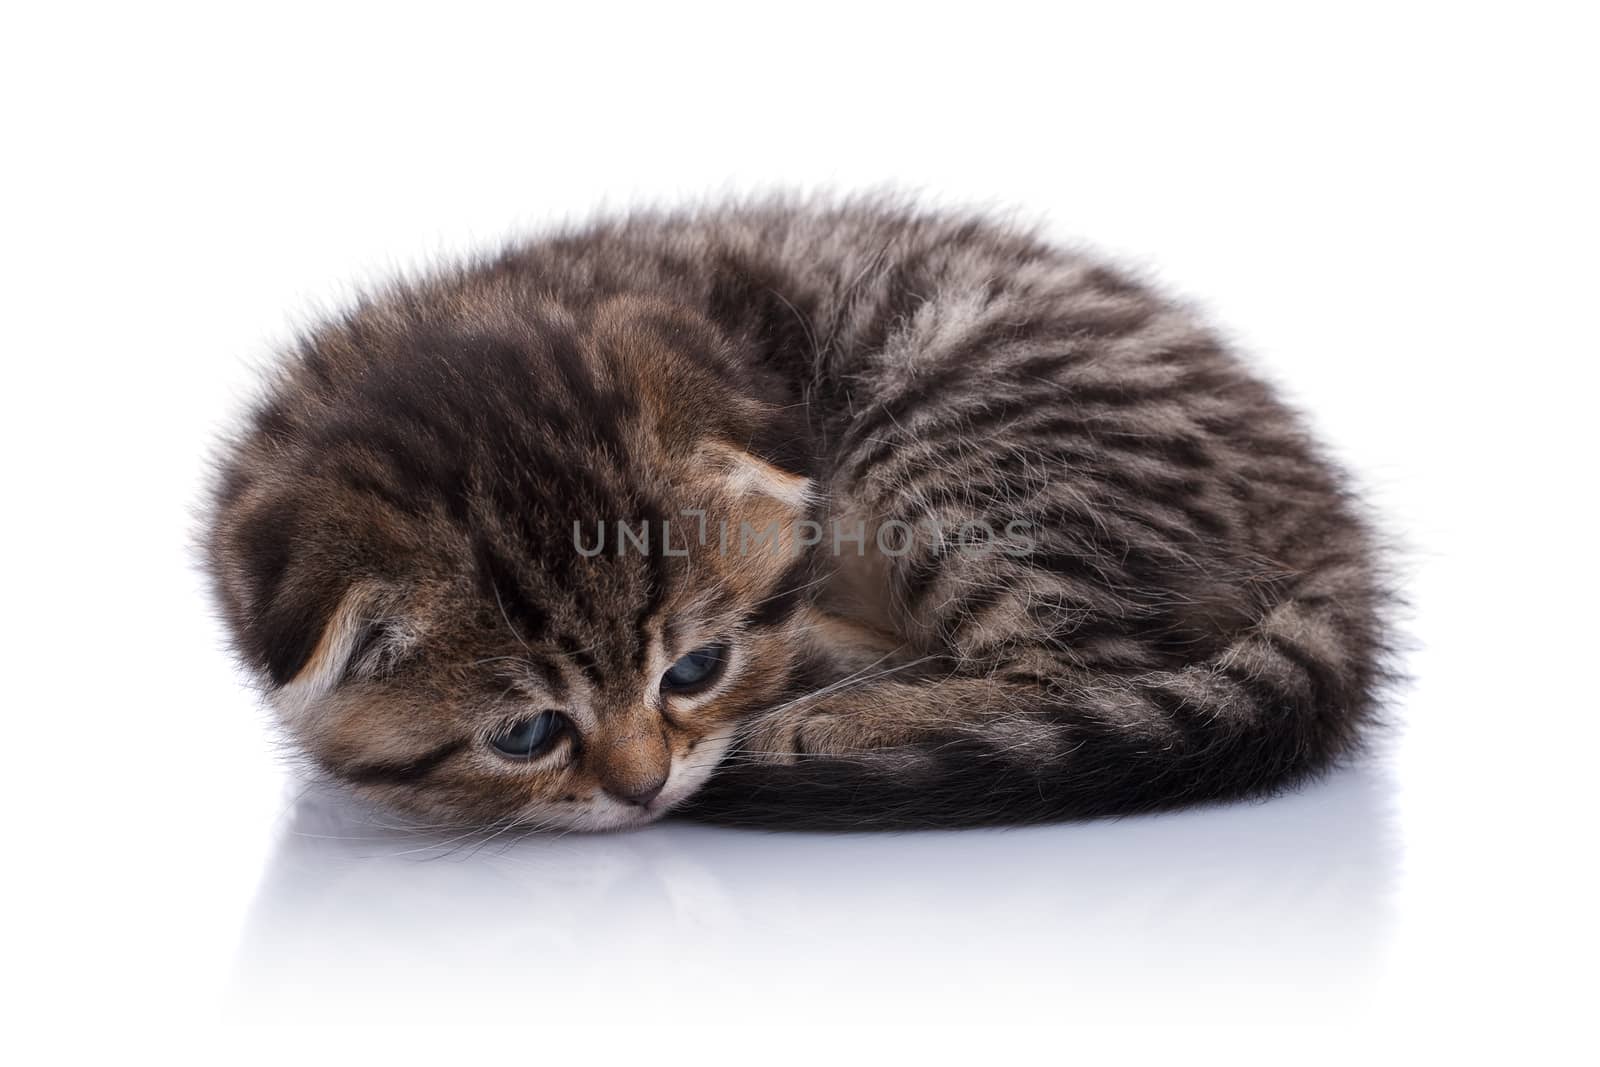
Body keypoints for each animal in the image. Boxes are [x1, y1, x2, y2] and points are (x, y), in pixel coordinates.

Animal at [206, 194, 1388, 831]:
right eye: (527, 732)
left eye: (692, 669)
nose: (646, 789)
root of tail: (1324, 513)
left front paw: (805, 684)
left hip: (963, 436)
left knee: (1085, 659)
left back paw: (837, 714)